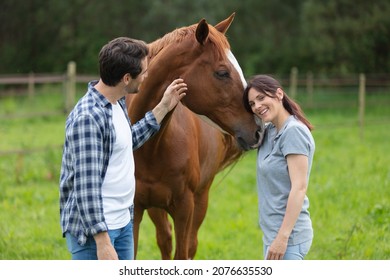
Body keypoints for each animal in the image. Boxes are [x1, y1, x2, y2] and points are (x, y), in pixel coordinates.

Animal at [126, 12, 264, 258]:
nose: (258, 129)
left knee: (190, 245)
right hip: (156, 208)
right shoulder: (134, 210)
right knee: (164, 239)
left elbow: (183, 252)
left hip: (200, 199)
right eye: (222, 73)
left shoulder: (184, 209)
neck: (151, 148)